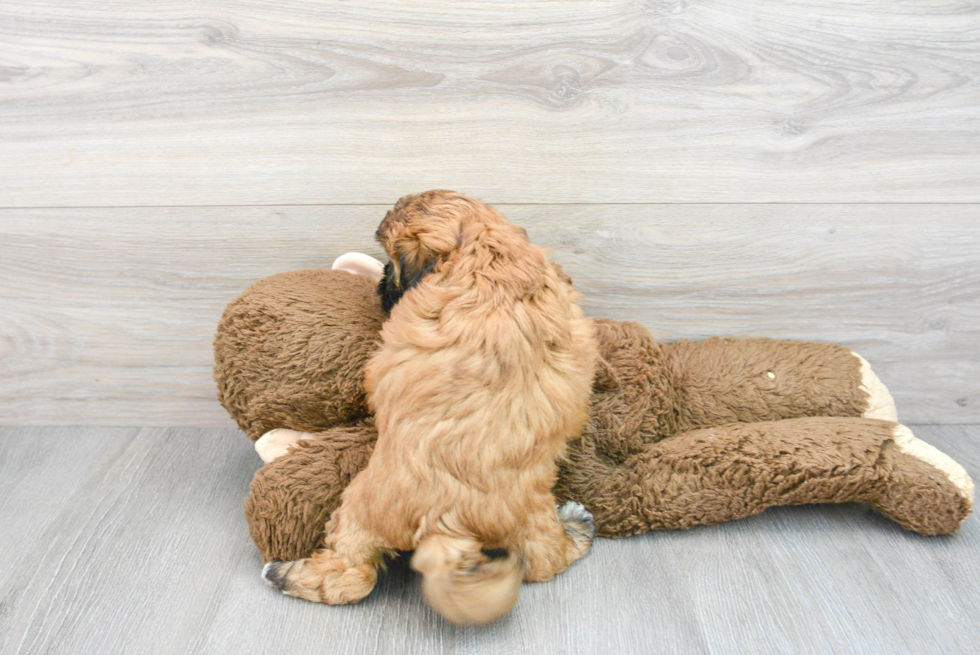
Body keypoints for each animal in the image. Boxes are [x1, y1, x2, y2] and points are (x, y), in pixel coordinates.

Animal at [262, 191, 596, 624]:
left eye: (392, 262)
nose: (383, 278)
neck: (485, 247)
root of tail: (447, 521)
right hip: (532, 510)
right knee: (544, 560)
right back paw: (576, 530)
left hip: (359, 508)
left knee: (350, 574)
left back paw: (284, 574)